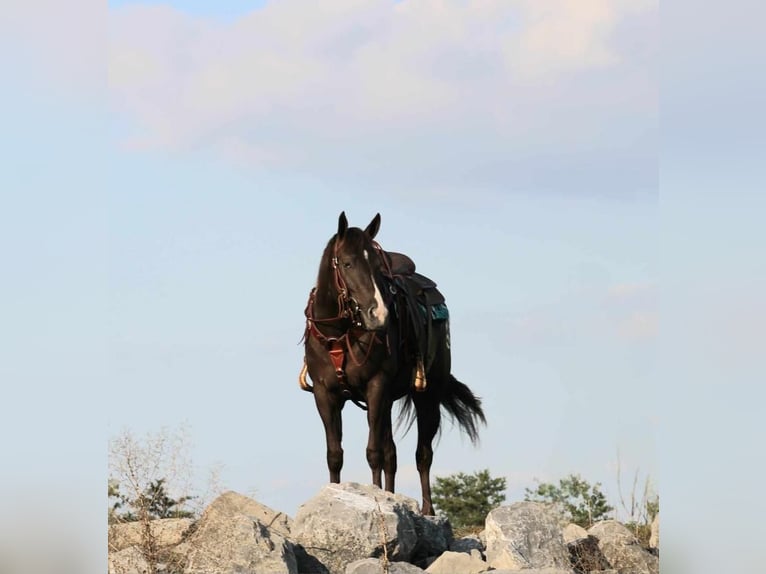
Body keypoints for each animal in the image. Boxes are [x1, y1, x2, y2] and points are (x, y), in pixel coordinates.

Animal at [300, 212, 486, 516]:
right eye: (348, 263)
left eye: (378, 267)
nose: (379, 315)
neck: (339, 334)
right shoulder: (325, 394)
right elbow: (335, 454)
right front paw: (336, 496)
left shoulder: (376, 388)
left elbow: (373, 452)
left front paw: (375, 500)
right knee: (393, 454)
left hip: (427, 397)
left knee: (422, 454)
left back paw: (427, 510)